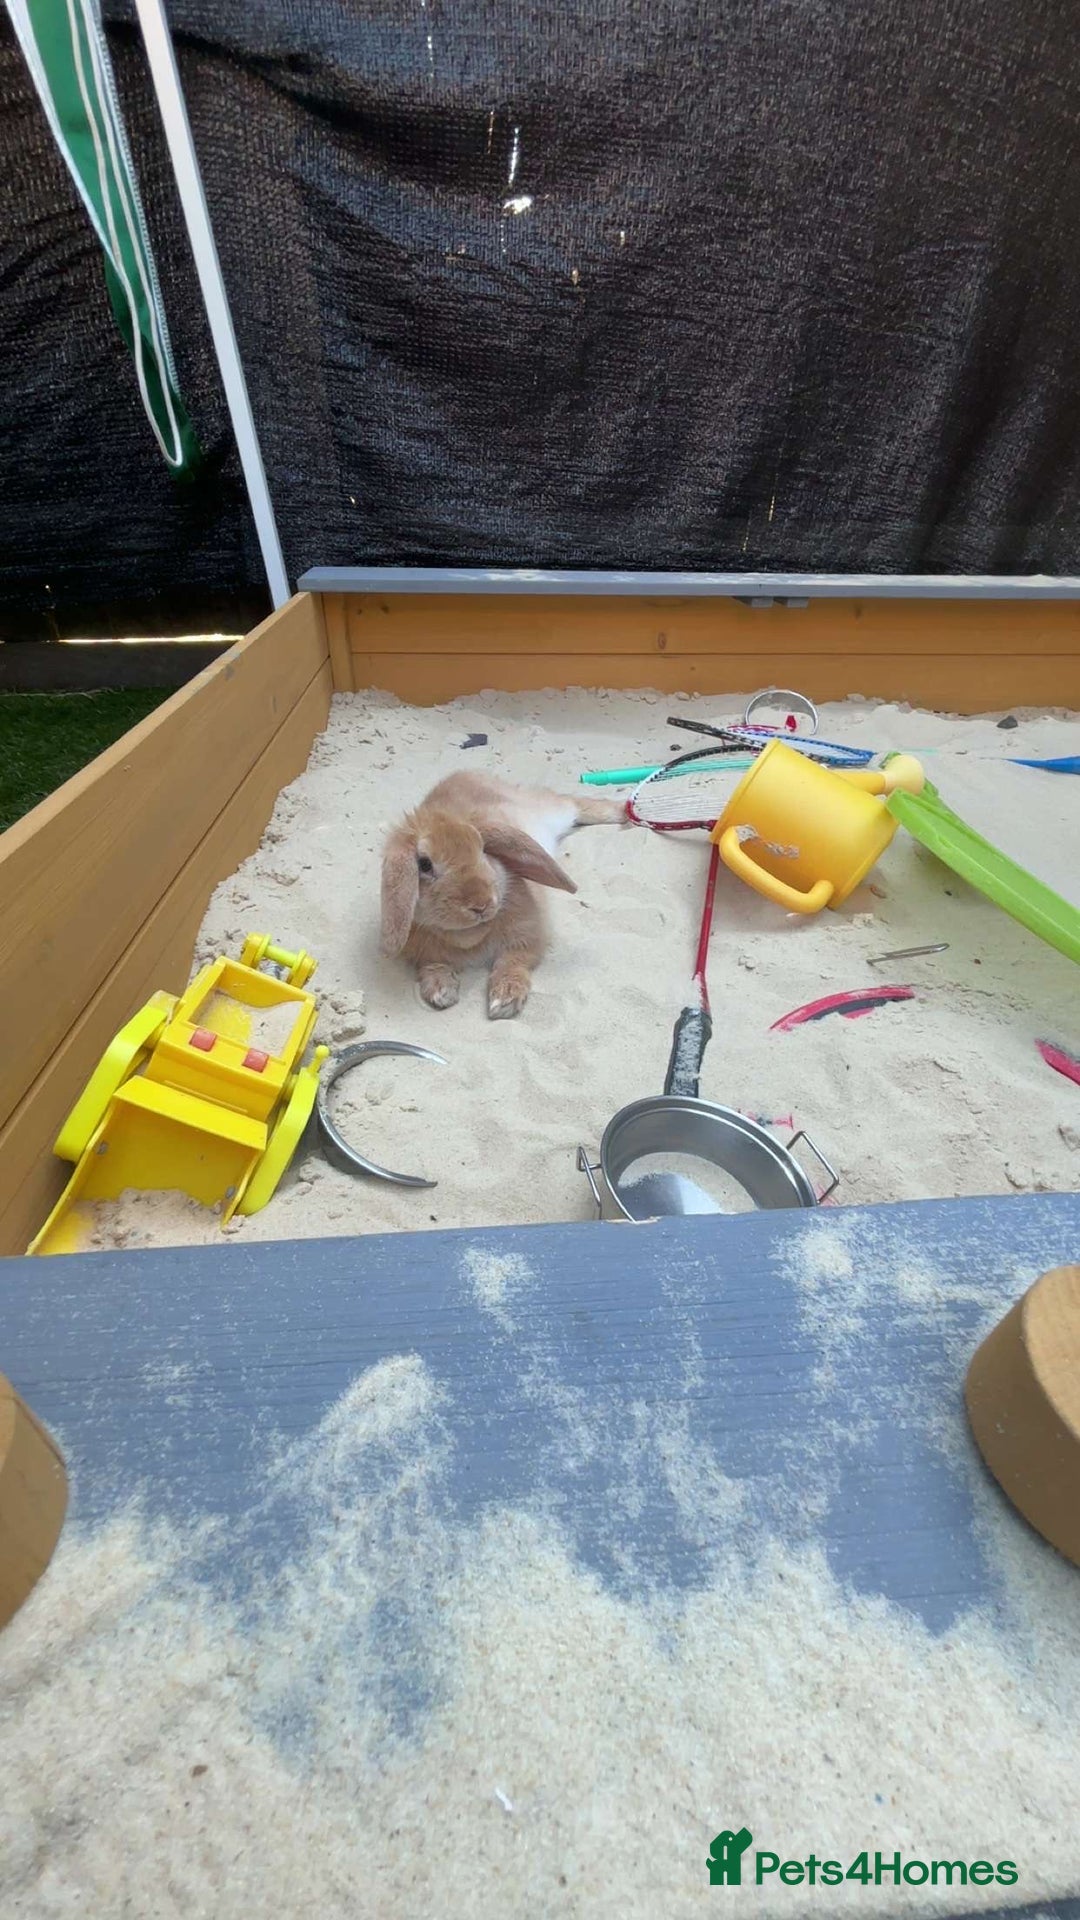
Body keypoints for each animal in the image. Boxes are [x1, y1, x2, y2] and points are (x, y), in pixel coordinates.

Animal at [380, 771, 623, 1017]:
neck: (473, 938)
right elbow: (433, 967)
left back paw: (625, 812)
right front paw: (441, 991)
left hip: (552, 810)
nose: (480, 904)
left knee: (576, 803)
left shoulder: (528, 937)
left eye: (483, 849)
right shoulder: (426, 954)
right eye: (425, 865)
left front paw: (505, 1000)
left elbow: (513, 962)